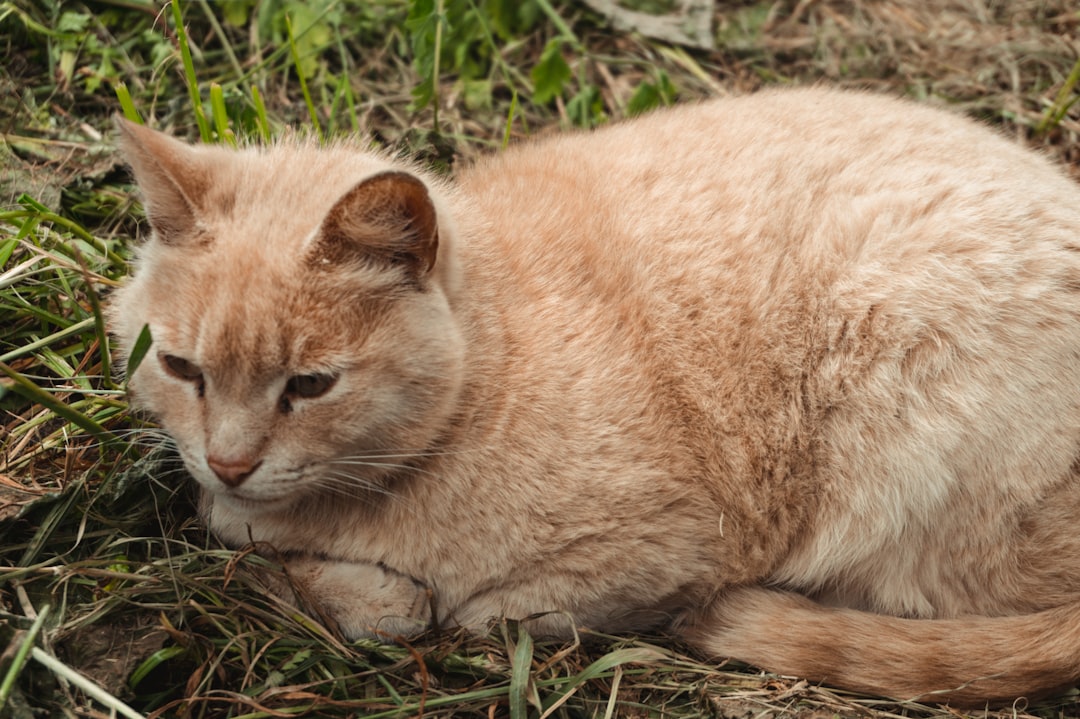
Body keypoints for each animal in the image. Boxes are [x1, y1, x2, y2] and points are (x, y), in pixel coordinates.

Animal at [107, 86, 1080, 703]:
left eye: (311, 385)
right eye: (183, 368)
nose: (231, 459)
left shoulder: (661, 553)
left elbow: (467, 611)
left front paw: (362, 588)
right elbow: (244, 529)